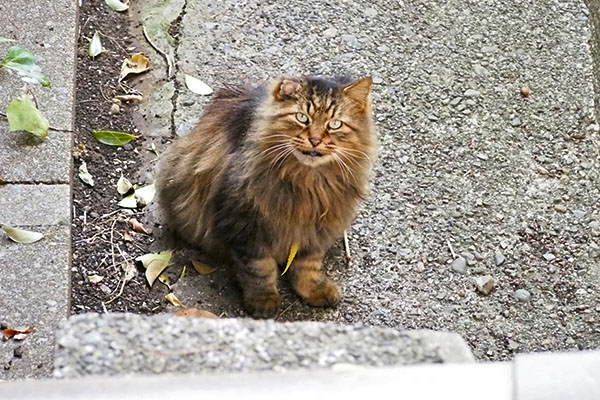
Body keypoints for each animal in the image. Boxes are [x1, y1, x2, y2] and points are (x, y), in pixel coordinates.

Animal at [157, 75, 378, 318]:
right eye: (302, 118)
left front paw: (313, 289)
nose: (315, 140)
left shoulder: (315, 229)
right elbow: (259, 269)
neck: (309, 183)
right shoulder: (246, 226)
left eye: (335, 124)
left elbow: (307, 265)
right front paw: (264, 299)